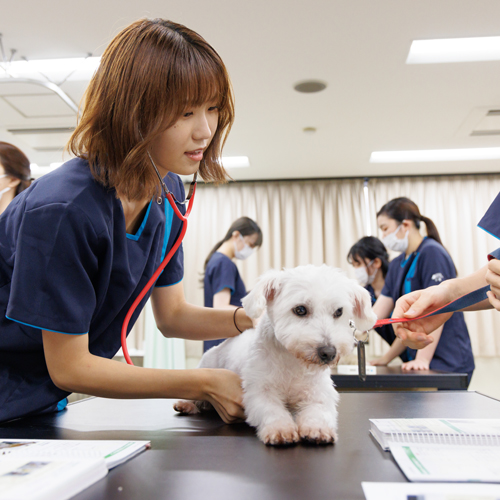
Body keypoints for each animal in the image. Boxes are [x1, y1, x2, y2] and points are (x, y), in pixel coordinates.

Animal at [175, 266, 376, 446]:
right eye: (300, 309)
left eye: (339, 311)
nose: (328, 352)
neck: (292, 361)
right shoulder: (258, 390)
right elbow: (271, 409)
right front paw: (281, 429)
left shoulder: (319, 392)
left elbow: (318, 410)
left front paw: (317, 428)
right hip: (206, 365)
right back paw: (186, 404)